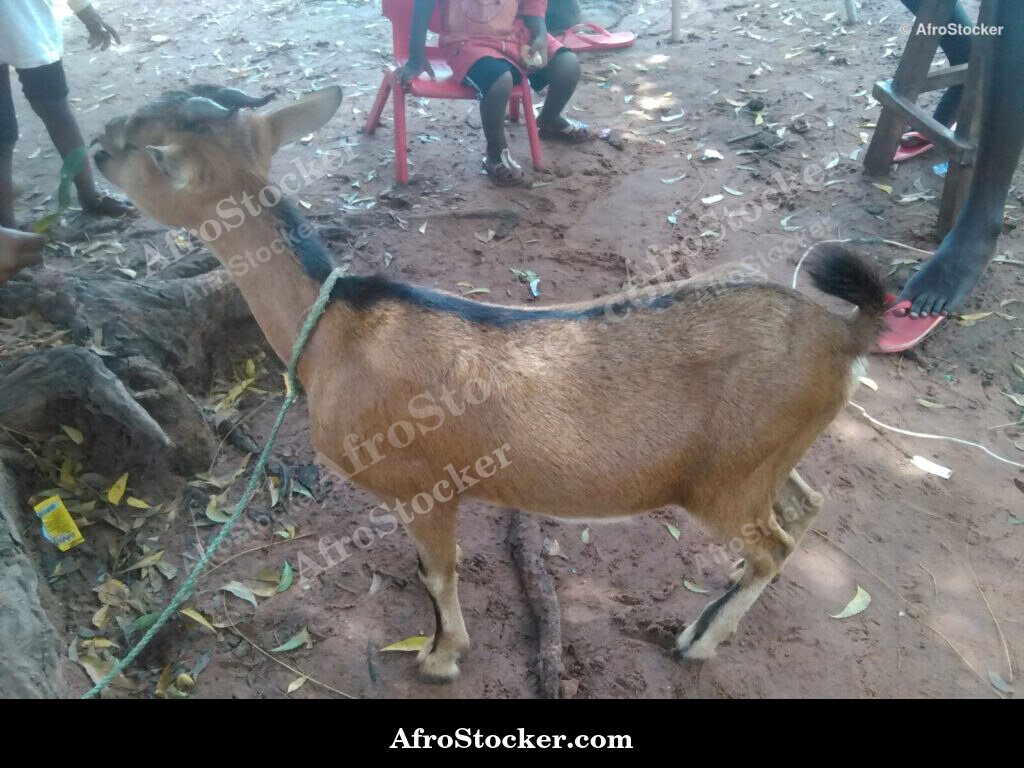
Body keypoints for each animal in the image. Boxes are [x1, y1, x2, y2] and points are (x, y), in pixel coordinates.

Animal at [94, 84, 887, 684]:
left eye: (142, 147)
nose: (96, 147)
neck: (335, 329)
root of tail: (841, 333)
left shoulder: (421, 485)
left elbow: (441, 573)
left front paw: (441, 657)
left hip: (722, 483)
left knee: (772, 546)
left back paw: (698, 641)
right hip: (763, 457)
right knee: (805, 508)